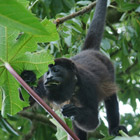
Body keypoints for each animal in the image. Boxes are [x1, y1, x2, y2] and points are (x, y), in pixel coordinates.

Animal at [21, 0, 127, 140]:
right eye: (48, 72)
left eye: (56, 70)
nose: (49, 77)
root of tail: (90, 51)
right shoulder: (44, 85)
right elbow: (25, 102)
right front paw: (28, 77)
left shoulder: (87, 84)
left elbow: (94, 120)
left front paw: (74, 111)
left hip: (109, 66)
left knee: (110, 98)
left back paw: (115, 128)